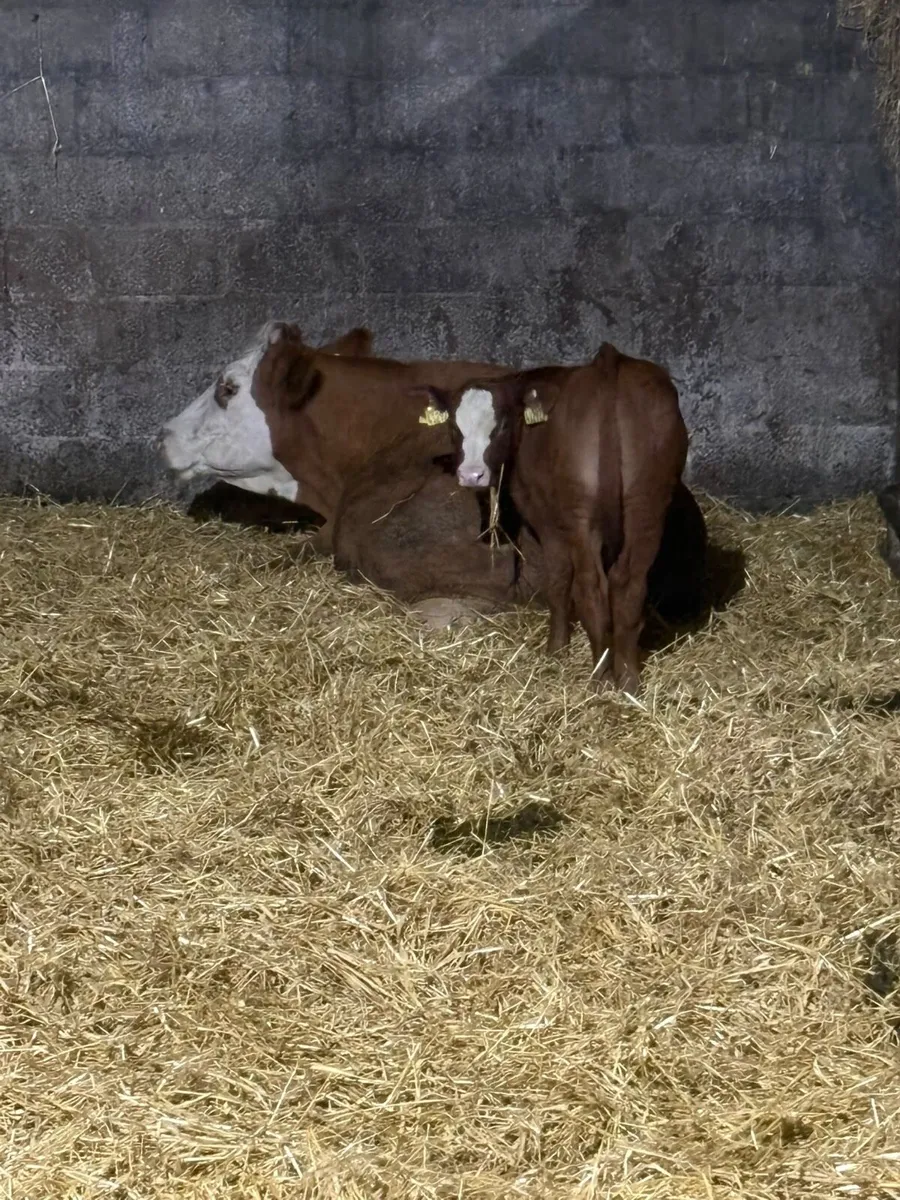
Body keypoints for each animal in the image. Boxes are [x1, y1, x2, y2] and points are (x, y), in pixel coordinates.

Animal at [411, 343, 688, 692]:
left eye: (502, 426)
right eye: (453, 428)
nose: (471, 475)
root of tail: (609, 361)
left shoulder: (546, 519)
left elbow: (557, 580)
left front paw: (556, 648)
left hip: (583, 514)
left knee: (591, 587)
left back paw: (600, 677)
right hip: (647, 504)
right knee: (629, 586)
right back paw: (627, 679)